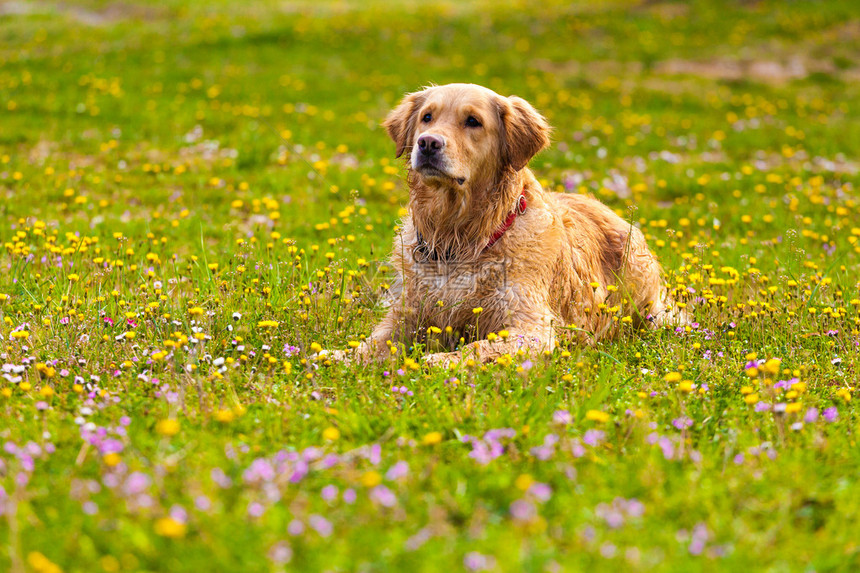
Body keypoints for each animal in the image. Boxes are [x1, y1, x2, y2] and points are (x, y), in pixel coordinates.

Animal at [340, 82, 676, 364]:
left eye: (472, 121)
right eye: (427, 117)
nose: (428, 143)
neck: (458, 237)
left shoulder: (532, 326)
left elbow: (475, 349)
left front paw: (438, 361)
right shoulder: (406, 313)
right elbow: (371, 343)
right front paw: (337, 357)